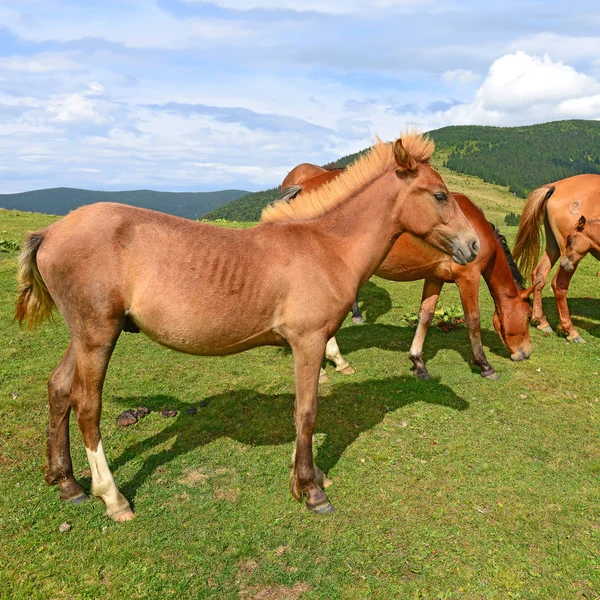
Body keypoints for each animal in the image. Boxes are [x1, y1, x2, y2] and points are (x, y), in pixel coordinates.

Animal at [16, 131, 480, 520]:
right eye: (440, 195)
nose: (473, 245)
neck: (327, 247)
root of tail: (50, 231)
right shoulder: (309, 341)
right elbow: (306, 412)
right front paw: (311, 491)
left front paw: (307, 477)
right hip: (98, 335)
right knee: (87, 406)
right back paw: (112, 498)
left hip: (84, 334)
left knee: (58, 389)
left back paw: (67, 483)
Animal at [278, 164, 532, 380]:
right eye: (529, 316)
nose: (525, 354)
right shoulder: (468, 276)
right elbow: (473, 319)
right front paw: (484, 364)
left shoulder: (434, 277)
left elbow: (425, 316)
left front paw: (418, 362)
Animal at [512, 173, 600, 342]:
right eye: (570, 239)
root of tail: (556, 186)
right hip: (569, 259)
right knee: (559, 284)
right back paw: (570, 331)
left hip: (554, 247)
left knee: (539, 274)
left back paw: (540, 321)